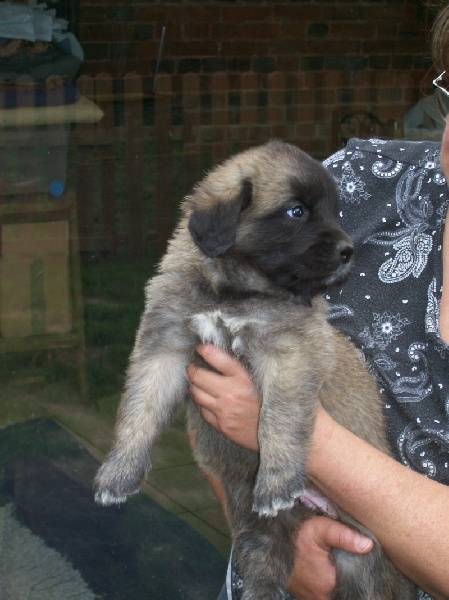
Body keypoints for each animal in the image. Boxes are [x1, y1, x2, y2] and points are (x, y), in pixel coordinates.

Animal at [93, 142, 412, 600]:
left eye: (335, 210)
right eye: (296, 211)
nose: (348, 250)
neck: (233, 290)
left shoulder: (288, 353)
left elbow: (278, 419)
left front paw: (277, 480)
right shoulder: (163, 347)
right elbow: (139, 410)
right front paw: (119, 472)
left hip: (361, 559)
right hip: (255, 530)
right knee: (265, 568)